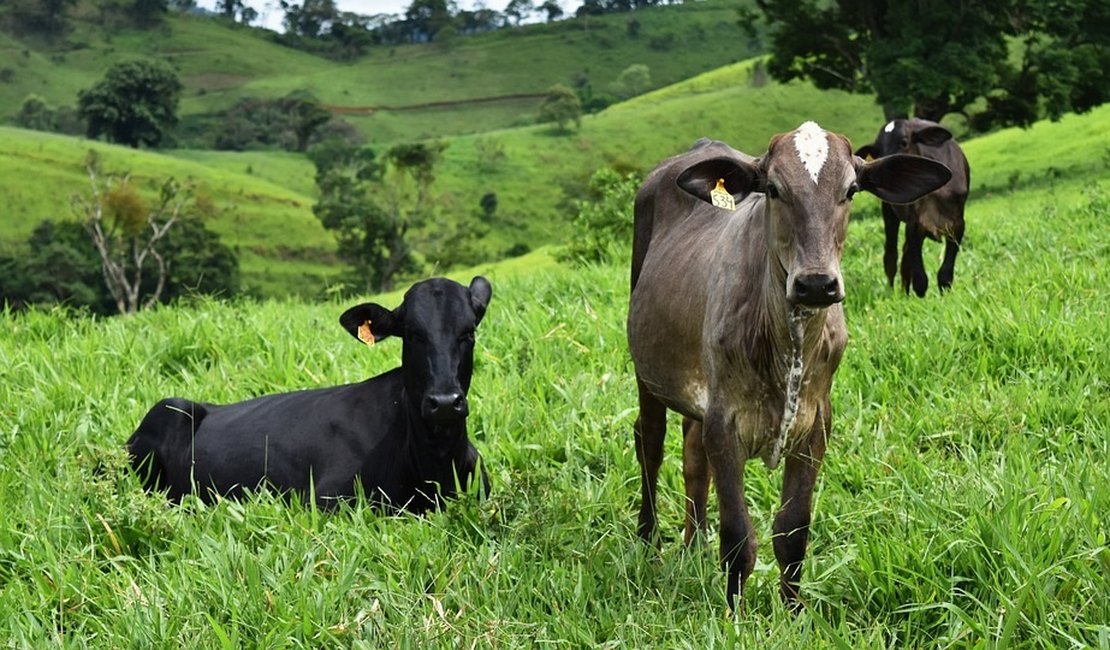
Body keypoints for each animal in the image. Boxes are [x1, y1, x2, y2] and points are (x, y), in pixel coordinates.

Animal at [125, 272, 490, 510]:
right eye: (413, 335)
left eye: (468, 333)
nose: (445, 402)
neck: (435, 463)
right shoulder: (326, 500)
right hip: (169, 411)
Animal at [630, 122, 950, 612]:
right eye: (775, 189)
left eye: (851, 190)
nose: (816, 283)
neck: (787, 341)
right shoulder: (725, 423)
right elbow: (738, 537)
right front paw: (734, 615)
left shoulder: (815, 424)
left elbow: (793, 531)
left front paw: (794, 610)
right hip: (647, 373)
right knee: (650, 443)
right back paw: (649, 542)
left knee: (692, 457)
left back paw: (693, 544)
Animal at [852, 117, 967, 295]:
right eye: (876, 152)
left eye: (904, 142)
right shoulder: (914, 223)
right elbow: (920, 280)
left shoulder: (958, 224)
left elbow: (945, 273)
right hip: (889, 212)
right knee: (891, 254)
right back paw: (892, 292)